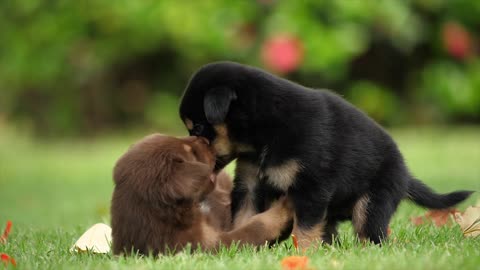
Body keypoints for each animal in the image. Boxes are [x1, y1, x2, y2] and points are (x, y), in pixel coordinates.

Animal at [178, 61, 474, 249]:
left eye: (199, 128)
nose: (191, 151)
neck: (265, 133)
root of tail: (405, 174)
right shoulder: (250, 184)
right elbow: (244, 218)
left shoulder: (311, 188)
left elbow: (304, 230)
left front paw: (304, 255)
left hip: (373, 203)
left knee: (371, 235)